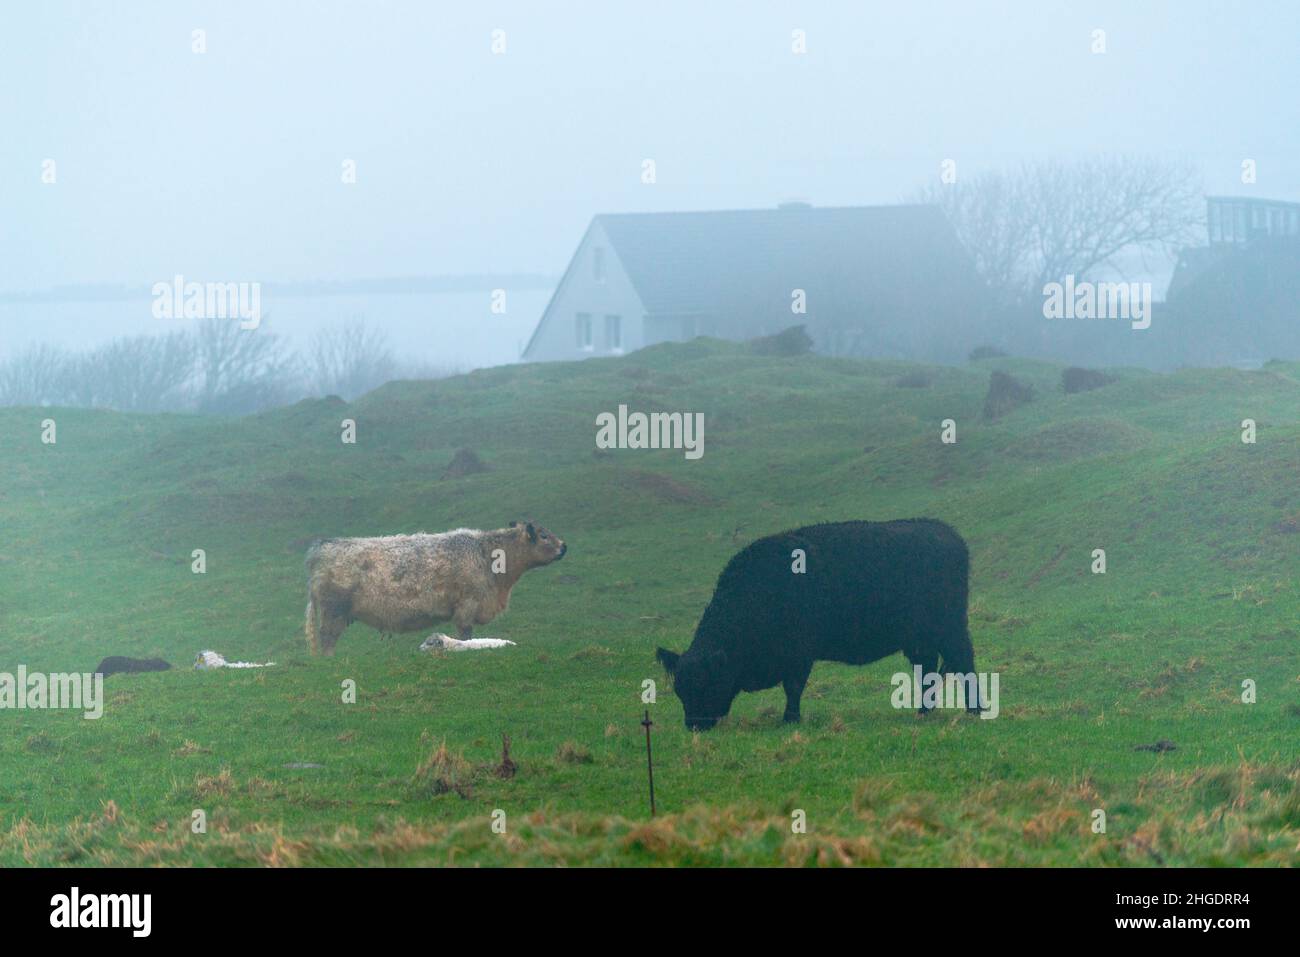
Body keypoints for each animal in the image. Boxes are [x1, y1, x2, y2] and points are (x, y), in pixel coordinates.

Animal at [655, 520, 977, 728]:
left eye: (707, 685)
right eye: (680, 689)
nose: (694, 725)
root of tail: (948, 534)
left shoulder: (798, 655)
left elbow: (793, 687)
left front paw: (790, 719)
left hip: (951, 629)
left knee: (964, 663)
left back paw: (974, 711)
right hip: (920, 640)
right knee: (927, 670)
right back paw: (923, 712)